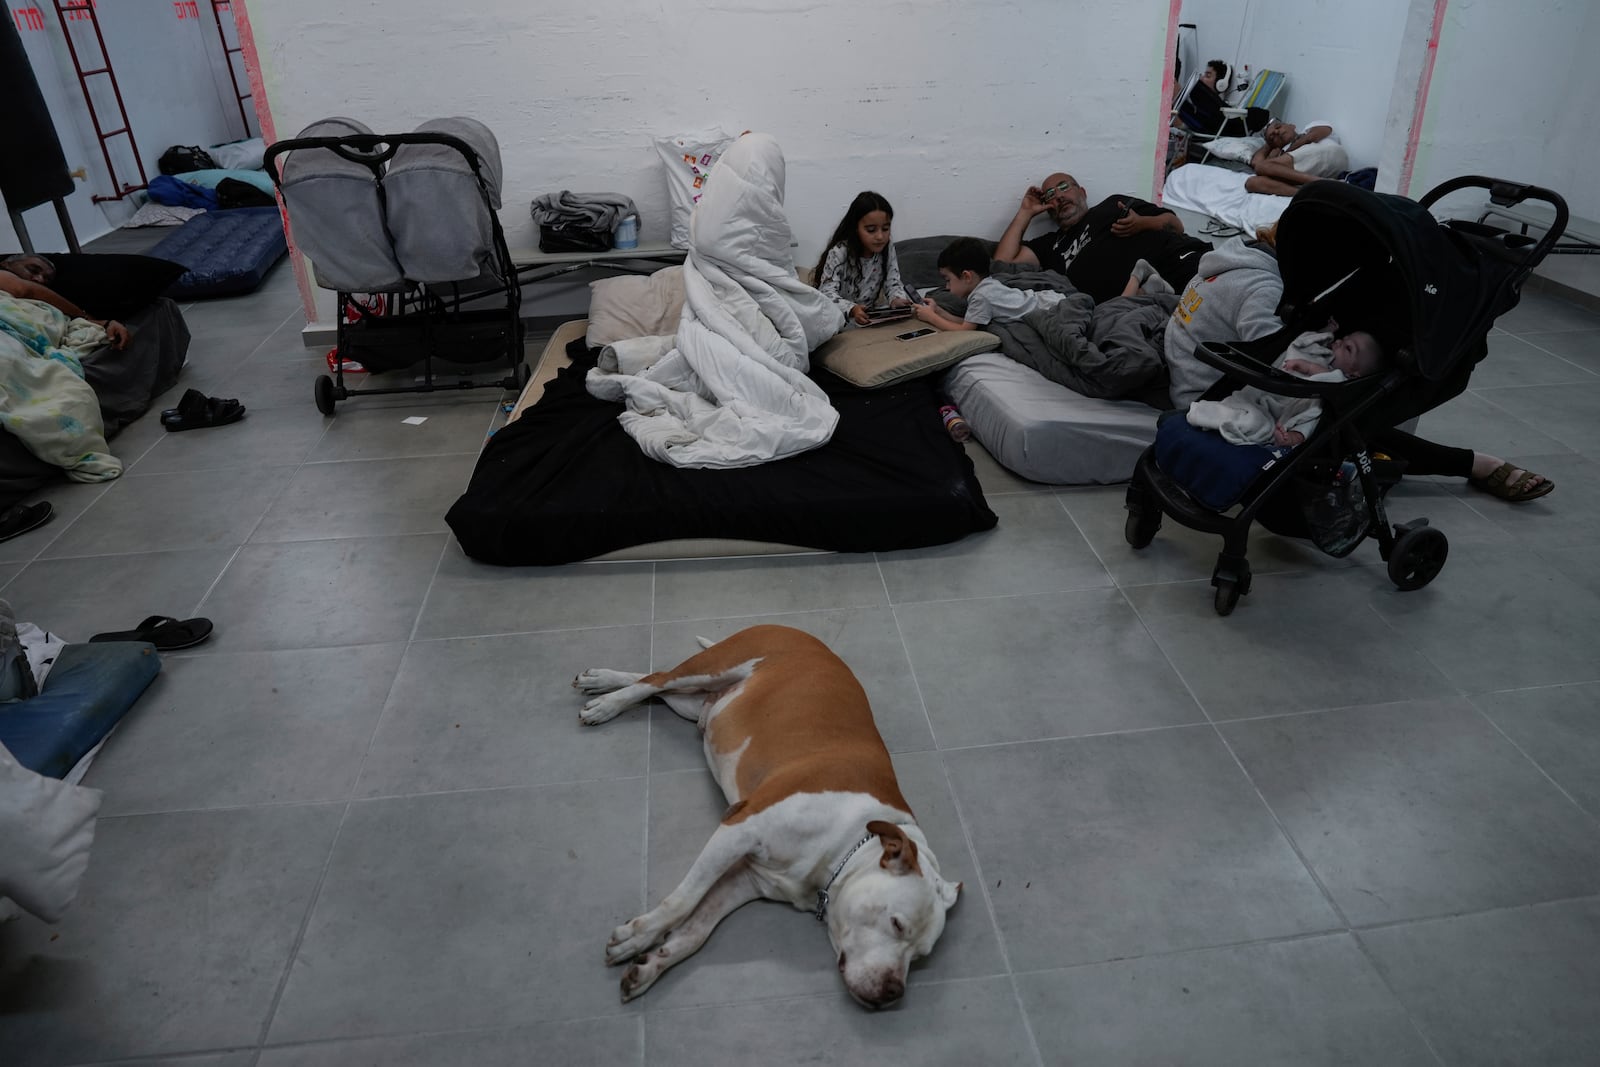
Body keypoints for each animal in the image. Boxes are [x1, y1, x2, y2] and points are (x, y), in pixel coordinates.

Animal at [572, 620, 953, 1004]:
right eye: (897, 924)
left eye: (919, 956)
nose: (894, 992)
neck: (847, 843)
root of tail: (796, 630)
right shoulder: (738, 830)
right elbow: (683, 901)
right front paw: (635, 937)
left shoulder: (743, 879)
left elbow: (695, 930)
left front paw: (650, 965)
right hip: (714, 665)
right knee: (657, 679)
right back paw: (606, 703)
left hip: (691, 700)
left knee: (655, 682)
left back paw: (600, 681)